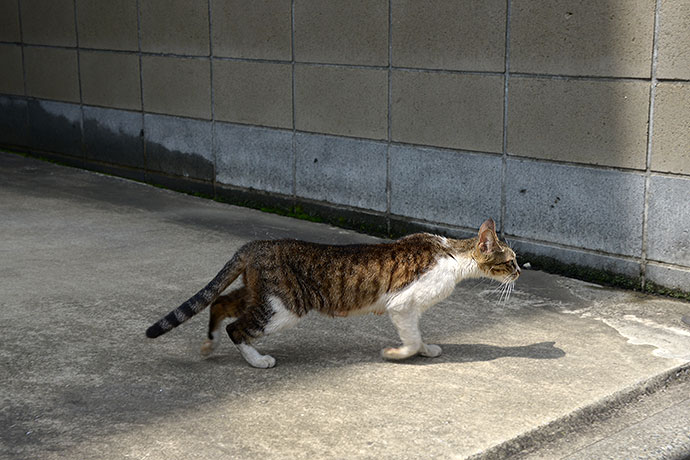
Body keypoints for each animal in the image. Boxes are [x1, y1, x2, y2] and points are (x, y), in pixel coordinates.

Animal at [148, 218, 520, 366]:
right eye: (511, 261)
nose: (519, 273)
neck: (453, 256)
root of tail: (256, 245)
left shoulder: (410, 310)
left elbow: (417, 333)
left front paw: (426, 349)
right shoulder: (402, 304)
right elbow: (410, 338)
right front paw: (398, 354)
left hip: (260, 294)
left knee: (222, 303)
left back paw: (209, 345)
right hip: (284, 306)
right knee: (237, 327)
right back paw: (258, 360)